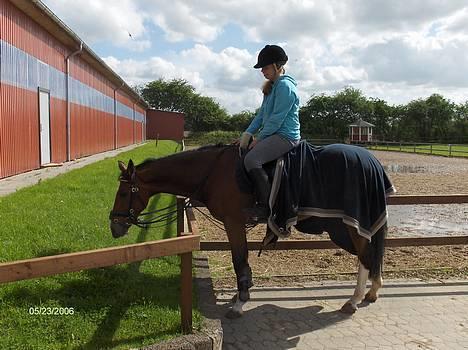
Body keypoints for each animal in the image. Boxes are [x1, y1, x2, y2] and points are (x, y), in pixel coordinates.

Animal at [109, 144, 392, 318]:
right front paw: (241, 293)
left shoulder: (233, 222)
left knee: (366, 256)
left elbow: (239, 260)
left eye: (123, 193)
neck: (213, 172)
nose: (114, 225)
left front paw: (240, 301)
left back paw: (353, 300)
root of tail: (371, 160)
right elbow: (241, 261)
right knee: (370, 255)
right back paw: (372, 291)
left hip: (351, 224)